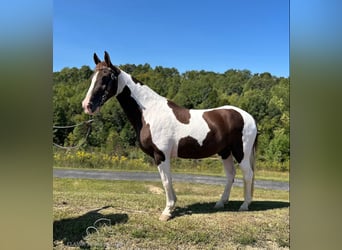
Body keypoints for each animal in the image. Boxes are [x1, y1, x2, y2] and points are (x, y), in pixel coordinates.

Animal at [81, 50, 256, 221]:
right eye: (92, 78)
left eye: (105, 77)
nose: (87, 105)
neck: (150, 112)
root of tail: (248, 117)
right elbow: (167, 180)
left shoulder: (161, 155)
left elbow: (166, 181)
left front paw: (167, 211)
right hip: (225, 152)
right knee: (230, 175)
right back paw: (221, 203)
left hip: (241, 152)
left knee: (248, 175)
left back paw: (244, 205)